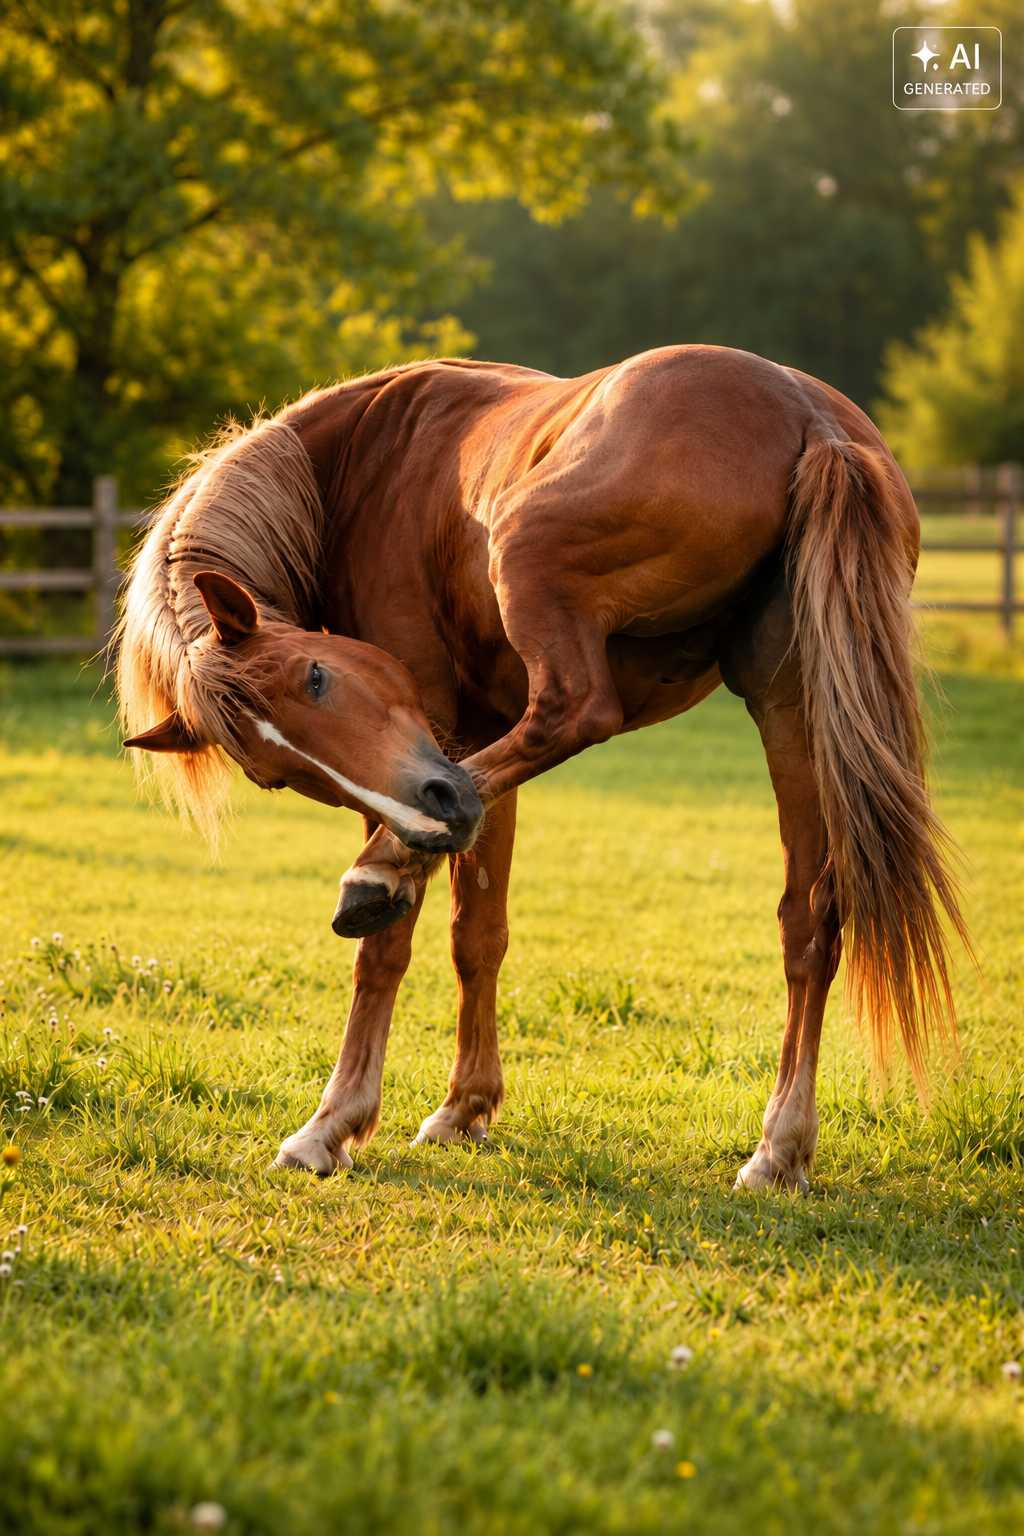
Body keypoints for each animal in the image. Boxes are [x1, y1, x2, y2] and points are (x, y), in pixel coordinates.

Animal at [117, 345, 968, 1191]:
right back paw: (779, 1147)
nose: (438, 810)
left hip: (529, 558)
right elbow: (477, 933)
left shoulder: (442, 739)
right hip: (788, 706)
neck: (355, 466)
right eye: (279, 776)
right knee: (809, 919)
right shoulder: (471, 750)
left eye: (316, 677)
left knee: (576, 711)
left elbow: (387, 948)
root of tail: (806, 415)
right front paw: (464, 1108)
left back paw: (377, 875)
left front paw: (332, 1123)